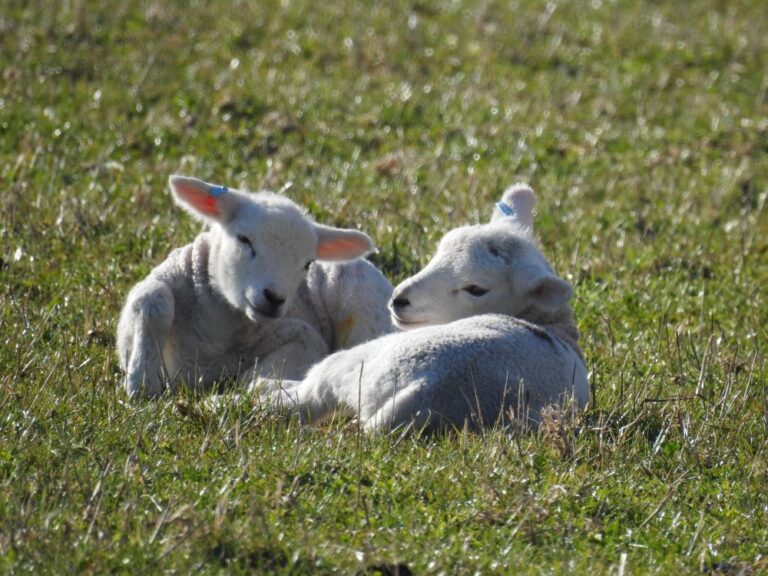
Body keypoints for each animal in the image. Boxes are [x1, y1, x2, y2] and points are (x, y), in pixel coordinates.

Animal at [117, 175, 393, 398]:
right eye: (244, 239)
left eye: (307, 263)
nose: (274, 298)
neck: (214, 338)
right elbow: (153, 297)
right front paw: (142, 380)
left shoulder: (296, 333)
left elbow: (295, 349)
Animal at [263, 184, 588, 432]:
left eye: (476, 289)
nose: (399, 299)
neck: (553, 326)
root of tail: (428, 389)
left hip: (357, 361)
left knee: (307, 398)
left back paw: (265, 390)